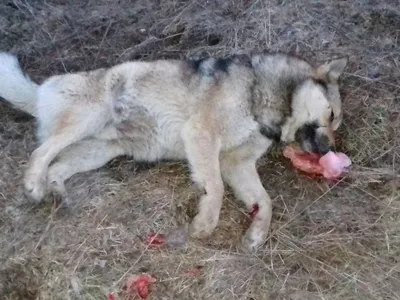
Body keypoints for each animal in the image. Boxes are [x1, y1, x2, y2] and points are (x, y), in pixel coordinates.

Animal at [0, 51, 346, 251]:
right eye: (331, 115)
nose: (330, 149)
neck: (261, 93)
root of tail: (41, 91)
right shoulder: (202, 136)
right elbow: (215, 188)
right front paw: (205, 224)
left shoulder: (237, 162)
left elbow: (265, 202)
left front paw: (256, 234)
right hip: (86, 119)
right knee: (41, 153)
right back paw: (33, 187)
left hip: (99, 151)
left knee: (57, 166)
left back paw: (59, 194)